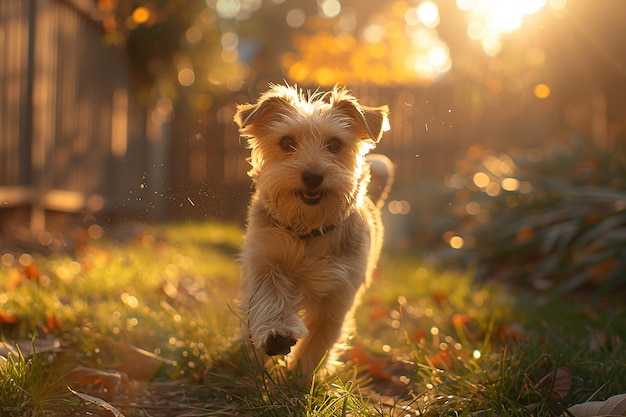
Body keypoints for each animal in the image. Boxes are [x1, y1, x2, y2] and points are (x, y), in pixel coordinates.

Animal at [232, 83, 392, 374]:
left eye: (335, 144)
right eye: (286, 142)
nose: (313, 176)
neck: (308, 228)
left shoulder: (338, 294)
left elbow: (319, 341)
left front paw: (300, 377)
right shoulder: (264, 261)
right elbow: (269, 297)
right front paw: (277, 335)